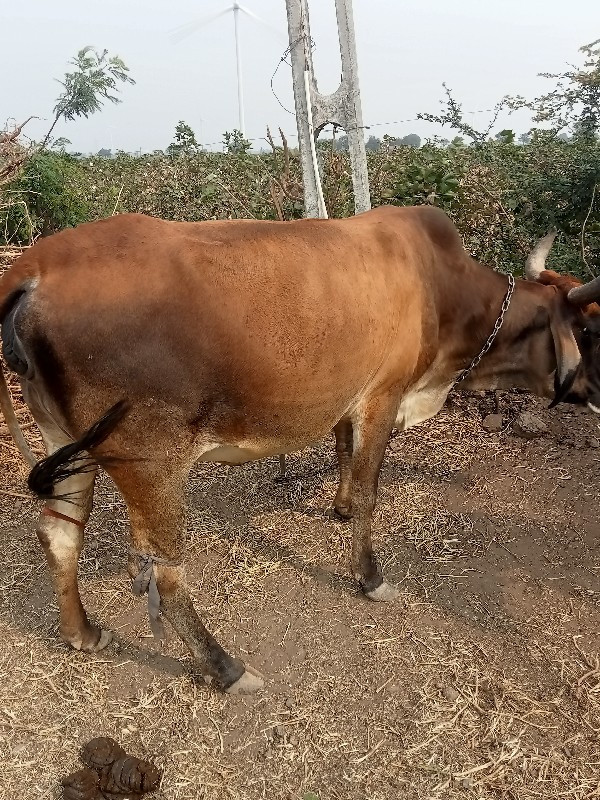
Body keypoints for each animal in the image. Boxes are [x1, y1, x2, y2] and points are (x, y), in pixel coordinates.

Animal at [0, 208, 596, 692]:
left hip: (65, 443)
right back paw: (226, 668)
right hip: (152, 462)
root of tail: (32, 267)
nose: (596, 394)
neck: (440, 289)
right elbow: (370, 488)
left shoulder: (348, 399)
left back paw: (82, 633)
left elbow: (343, 453)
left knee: (59, 533)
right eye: (588, 330)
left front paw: (340, 508)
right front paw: (370, 576)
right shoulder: (382, 395)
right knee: (166, 574)